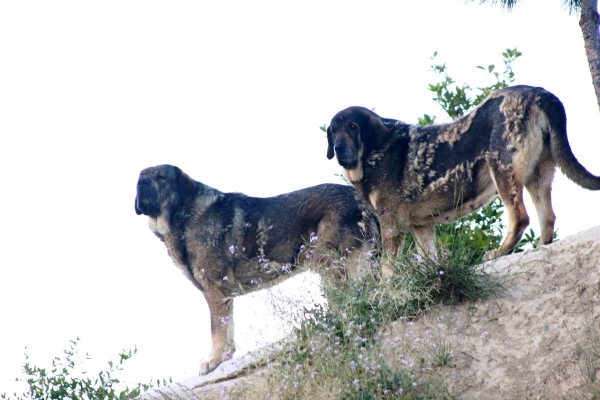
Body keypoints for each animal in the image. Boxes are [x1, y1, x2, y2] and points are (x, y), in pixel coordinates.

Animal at [137, 165, 380, 376]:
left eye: (161, 177)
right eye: (140, 177)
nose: (142, 183)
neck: (184, 218)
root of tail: (357, 196)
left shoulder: (215, 290)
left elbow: (216, 330)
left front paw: (212, 361)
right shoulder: (223, 295)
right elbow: (227, 330)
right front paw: (224, 357)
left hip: (328, 261)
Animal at [326, 84, 600, 260]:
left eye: (352, 126)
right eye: (333, 130)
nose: (337, 148)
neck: (375, 151)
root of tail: (539, 93)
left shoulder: (392, 223)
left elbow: (387, 267)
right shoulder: (421, 226)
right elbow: (429, 260)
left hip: (501, 169)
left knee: (521, 218)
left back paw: (500, 252)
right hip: (538, 175)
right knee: (548, 217)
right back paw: (540, 248)